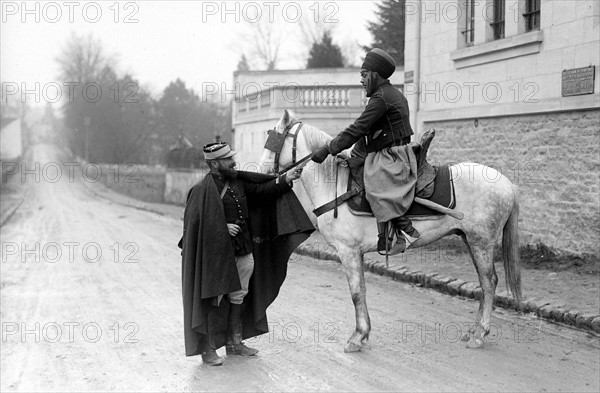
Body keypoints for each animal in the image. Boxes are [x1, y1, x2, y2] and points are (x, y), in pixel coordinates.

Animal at [258, 111, 520, 352]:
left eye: (275, 139)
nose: (260, 171)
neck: (337, 185)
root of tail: (508, 184)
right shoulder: (356, 254)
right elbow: (362, 290)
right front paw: (364, 333)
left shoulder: (348, 252)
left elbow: (356, 293)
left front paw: (357, 336)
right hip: (469, 240)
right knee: (485, 284)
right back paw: (474, 330)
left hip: (480, 242)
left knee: (489, 282)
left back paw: (480, 333)